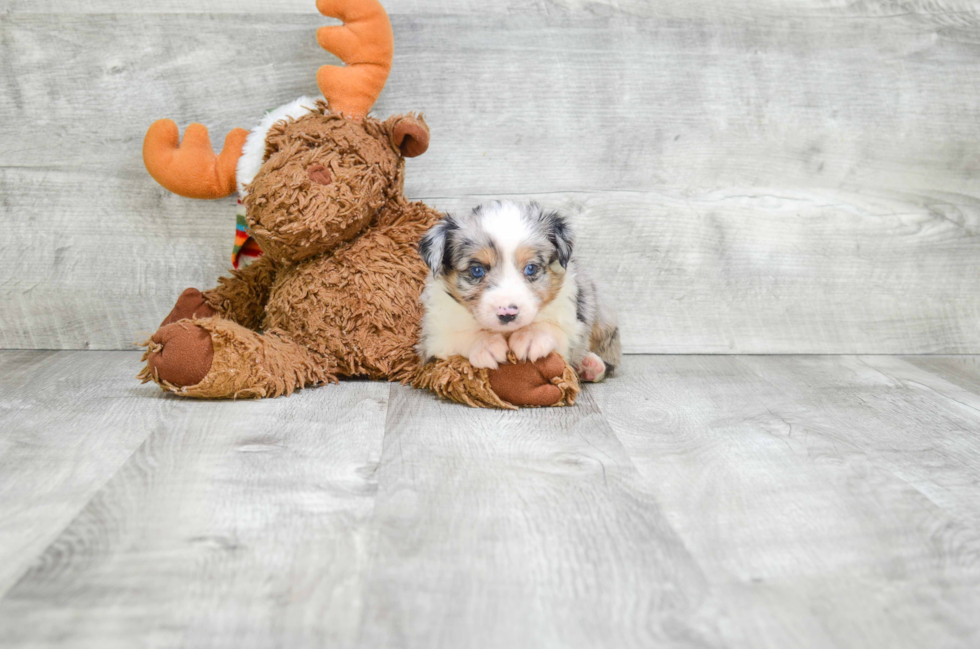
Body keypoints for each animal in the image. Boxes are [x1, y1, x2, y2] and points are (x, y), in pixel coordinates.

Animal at [416, 200, 620, 382]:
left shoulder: (574, 322)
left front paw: (531, 336)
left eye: (531, 268)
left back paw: (590, 366)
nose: (507, 314)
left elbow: (552, 326)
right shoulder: (432, 339)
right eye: (477, 270)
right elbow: (457, 335)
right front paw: (485, 344)